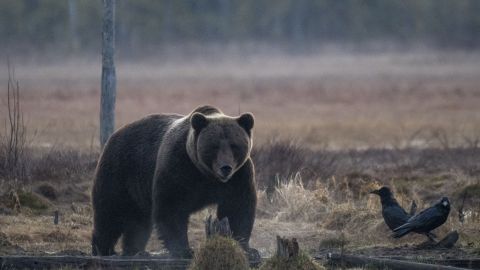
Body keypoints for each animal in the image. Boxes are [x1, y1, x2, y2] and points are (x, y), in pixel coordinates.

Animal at [89, 105, 255, 258]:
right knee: (110, 213)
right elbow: (172, 207)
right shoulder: (178, 167)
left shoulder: (238, 176)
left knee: (139, 221)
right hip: (119, 172)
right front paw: (184, 250)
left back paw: (135, 250)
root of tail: (114, 135)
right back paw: (104, 250)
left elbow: (237, 207)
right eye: (214, 146)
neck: (205, 173)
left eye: (234, 145)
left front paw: (245, 247)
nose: (225, 167)